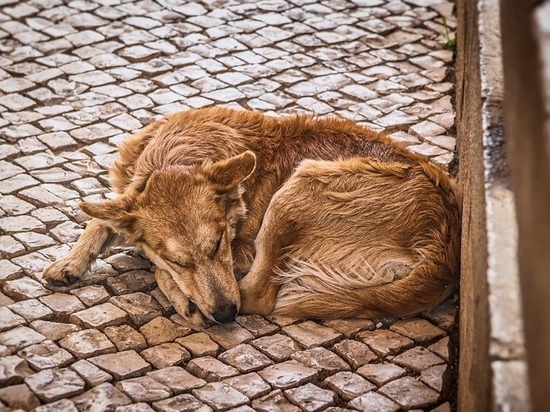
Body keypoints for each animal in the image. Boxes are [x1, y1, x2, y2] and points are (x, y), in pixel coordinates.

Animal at [44, 107, 462, 328]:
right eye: (181, 260)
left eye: (219, 245)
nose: (225, 314)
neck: (177, 155)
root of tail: (445, 254)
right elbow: (102, 216)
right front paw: (70, 262)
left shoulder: (241, 252)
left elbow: (149, 259)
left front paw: (178, 291)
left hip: (297, 189)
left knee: (258, 296)